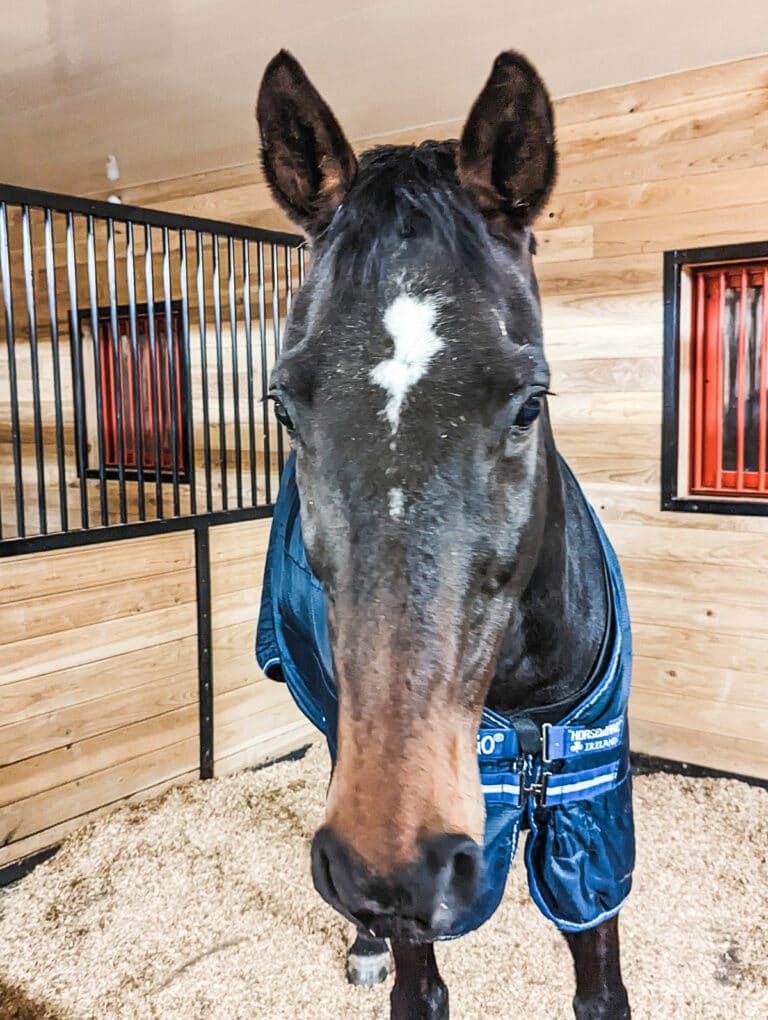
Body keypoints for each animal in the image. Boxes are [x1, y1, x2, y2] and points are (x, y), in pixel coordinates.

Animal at [254, 49, 632, 1020]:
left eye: (530, 400)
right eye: (285, 407)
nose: (391, 864)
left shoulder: (590, 830)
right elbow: (418, 990)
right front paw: (374, 944)